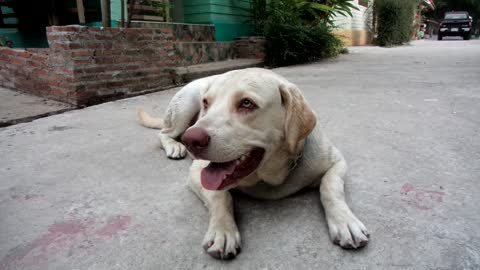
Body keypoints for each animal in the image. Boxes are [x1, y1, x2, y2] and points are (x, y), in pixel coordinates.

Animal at [137, 67, 370, 260]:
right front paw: (222, 230)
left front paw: (344, 221)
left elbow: (330, 188)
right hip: (184, 109)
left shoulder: (336, 162)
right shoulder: (198, 172)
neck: (270, 176)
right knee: (163, 133)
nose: (191, 140)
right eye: (207, 103)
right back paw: (174, 146)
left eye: (247, 103)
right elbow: (220, 196)